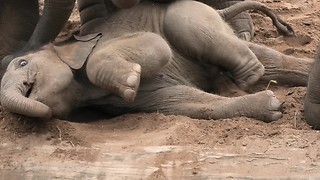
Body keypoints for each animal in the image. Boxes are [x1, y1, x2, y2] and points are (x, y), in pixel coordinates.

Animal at [0, 0, 312, 122]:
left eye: (22, 64)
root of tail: (220, 13)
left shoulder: (107, 42)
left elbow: (156, 44)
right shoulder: (117, 101)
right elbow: (180, 102)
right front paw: (272, 106)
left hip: (195, 15)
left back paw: (244, 80)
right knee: (268, 60)